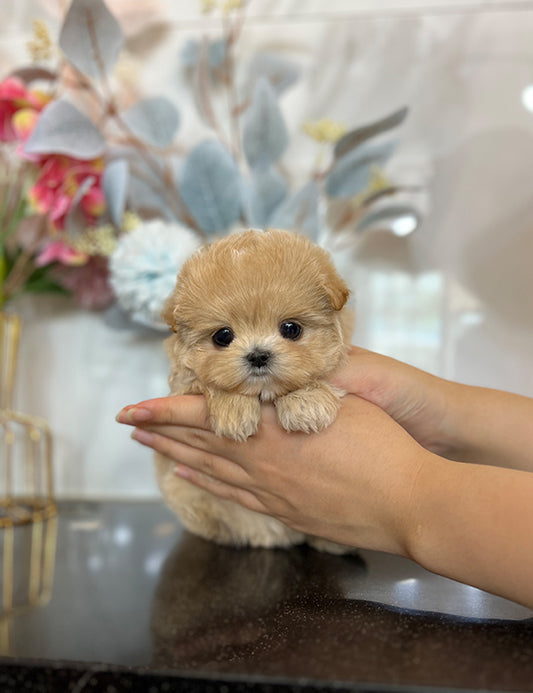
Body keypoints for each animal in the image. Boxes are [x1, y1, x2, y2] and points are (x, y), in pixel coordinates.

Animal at [154, 230, 354, 548]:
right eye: (223, 336)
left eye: (291, 329)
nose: (258, 355)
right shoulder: (181, 386)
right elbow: (205, 382)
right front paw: (233, 410)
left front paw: (306, 402)